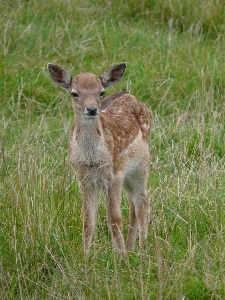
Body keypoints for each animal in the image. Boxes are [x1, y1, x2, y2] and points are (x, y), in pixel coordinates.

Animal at [48, 63, 152, 253]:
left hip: (141, 165)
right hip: (127, 174)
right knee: (133, 205)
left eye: (101, 92)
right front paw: (85, 255)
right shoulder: (84, 178)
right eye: (74, 93)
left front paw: (121, 256)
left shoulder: (114, 175)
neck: (93, 160)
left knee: (142, 201)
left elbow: (115, 219)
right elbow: (88, 221)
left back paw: (142, 250)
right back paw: (131, 247)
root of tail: (132, 96)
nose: (91, 109)